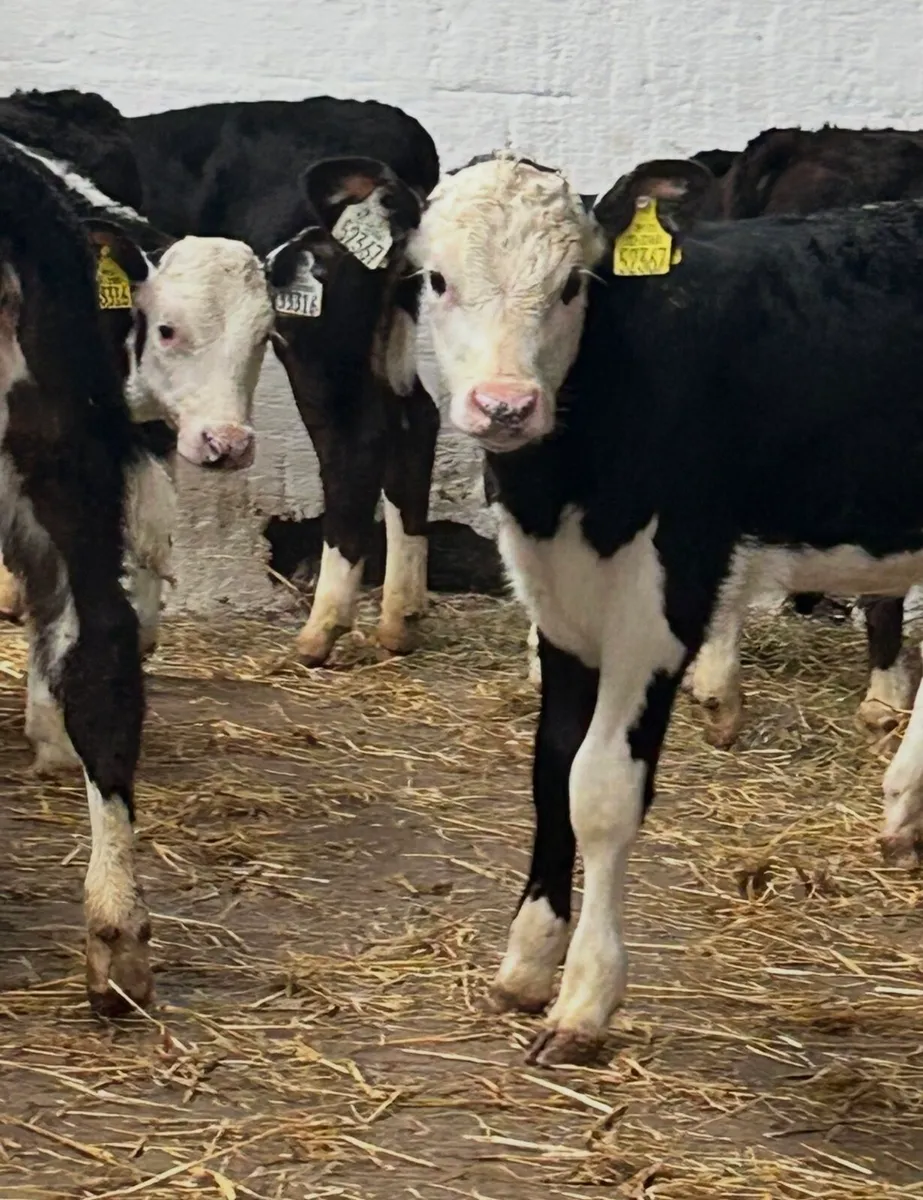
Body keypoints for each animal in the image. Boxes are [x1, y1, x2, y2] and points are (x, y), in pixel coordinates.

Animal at [411, 151, 923, 1065]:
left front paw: (583, 1004)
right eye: (436, 278)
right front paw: (527, 964)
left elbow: (600, 792)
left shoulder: (662, 599)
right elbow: (549, 772)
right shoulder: (557, 601)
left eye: (573, 284)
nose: (504, 405)